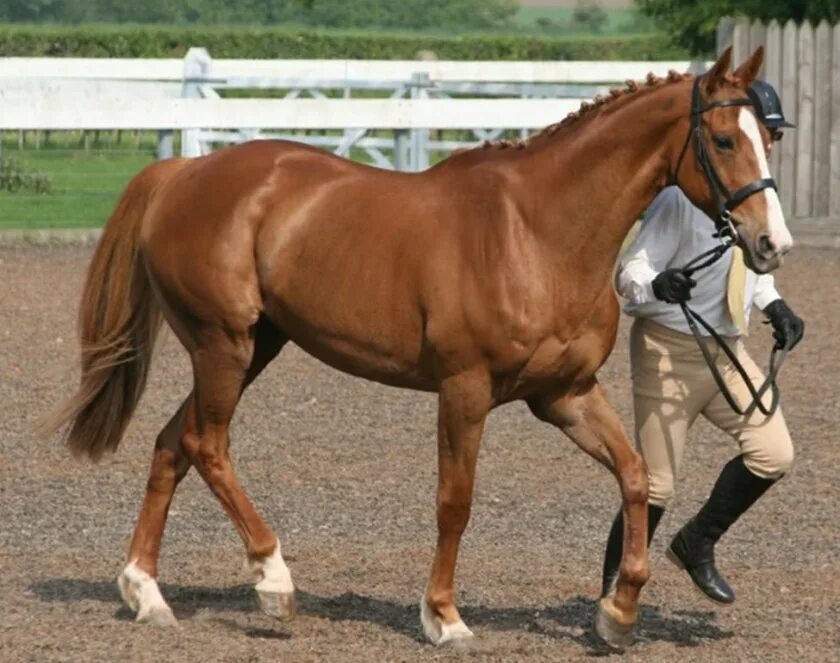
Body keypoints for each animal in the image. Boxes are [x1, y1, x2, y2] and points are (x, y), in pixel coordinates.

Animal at [44, 49, 796, 652]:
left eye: (768, 140)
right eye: (723, 139)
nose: (772, 245)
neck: (538, 231)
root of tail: (183, 172)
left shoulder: (565, 394)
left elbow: (637, 475)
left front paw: (618, 611)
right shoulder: (465, 389)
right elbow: (454, 501)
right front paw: (444, 617)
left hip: (253, 348)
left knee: (174, 443)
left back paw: (146, 591)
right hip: (223, 346)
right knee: (207, 445)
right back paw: (273, 580)